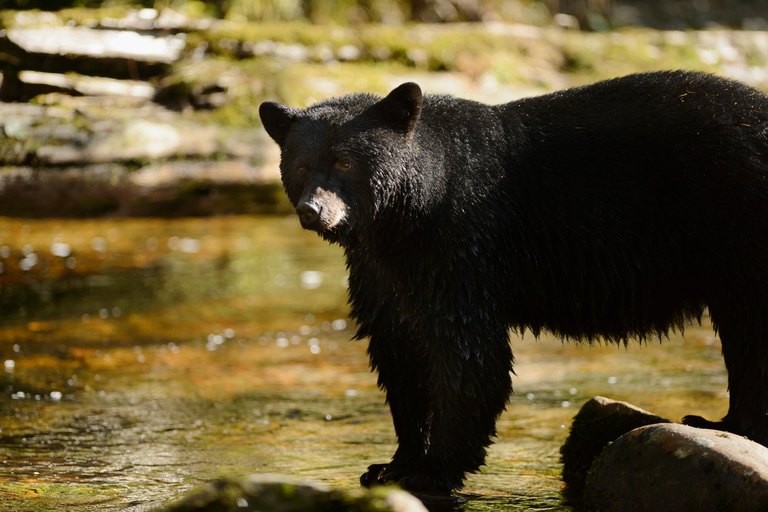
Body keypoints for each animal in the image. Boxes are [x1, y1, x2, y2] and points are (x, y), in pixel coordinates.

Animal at [260, 70, 768, 494]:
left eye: (344, 161)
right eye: (300, 165)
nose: (313, 211)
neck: (405, 217)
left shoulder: (462, 243)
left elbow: (469, 354)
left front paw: (432, 469)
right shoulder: (381, 271)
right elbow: (399, 352)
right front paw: (390, 464)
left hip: (741, 225)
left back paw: (729, 424)